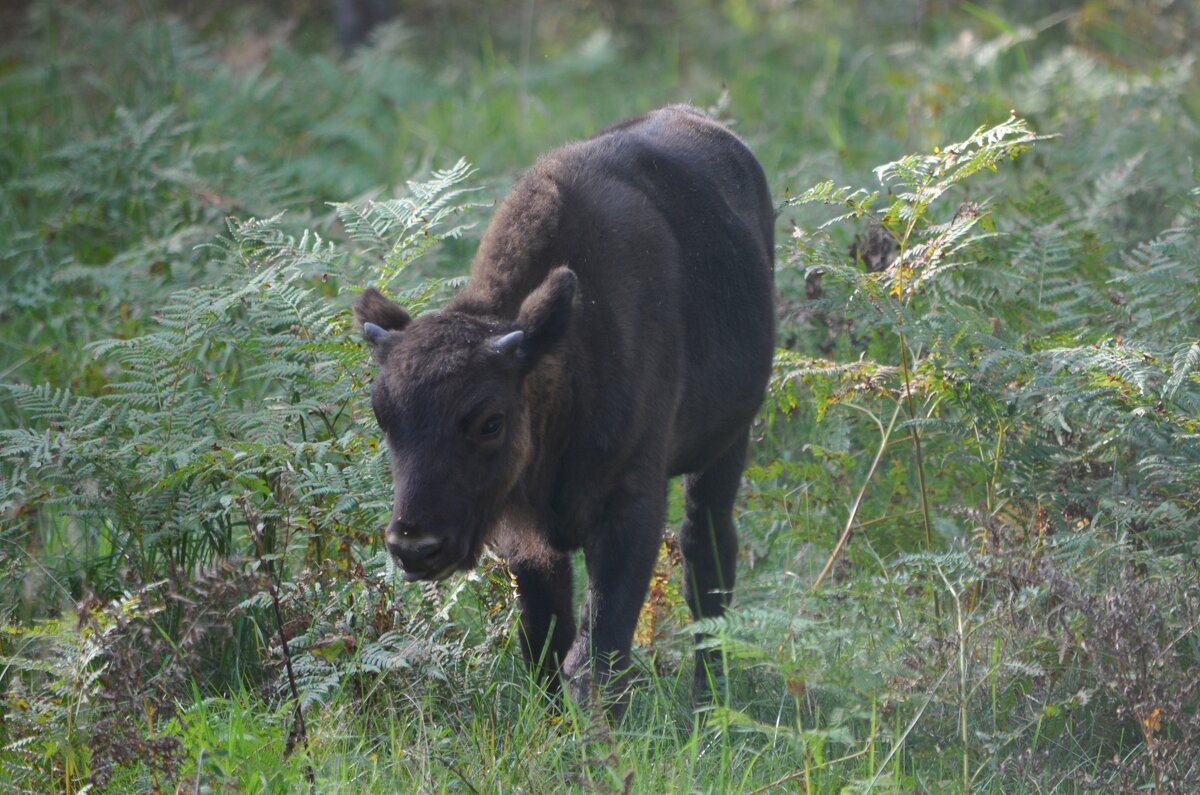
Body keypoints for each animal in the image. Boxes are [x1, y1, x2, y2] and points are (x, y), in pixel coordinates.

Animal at [352, 104, 777, 710]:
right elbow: (545, 639)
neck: (560, 356)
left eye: (490, 421)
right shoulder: (524, 536)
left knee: (708, 552)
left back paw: (708, 696)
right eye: (383, 416)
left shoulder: (631, 509)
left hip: (726, 447)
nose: (414, 546)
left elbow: (598, 652)